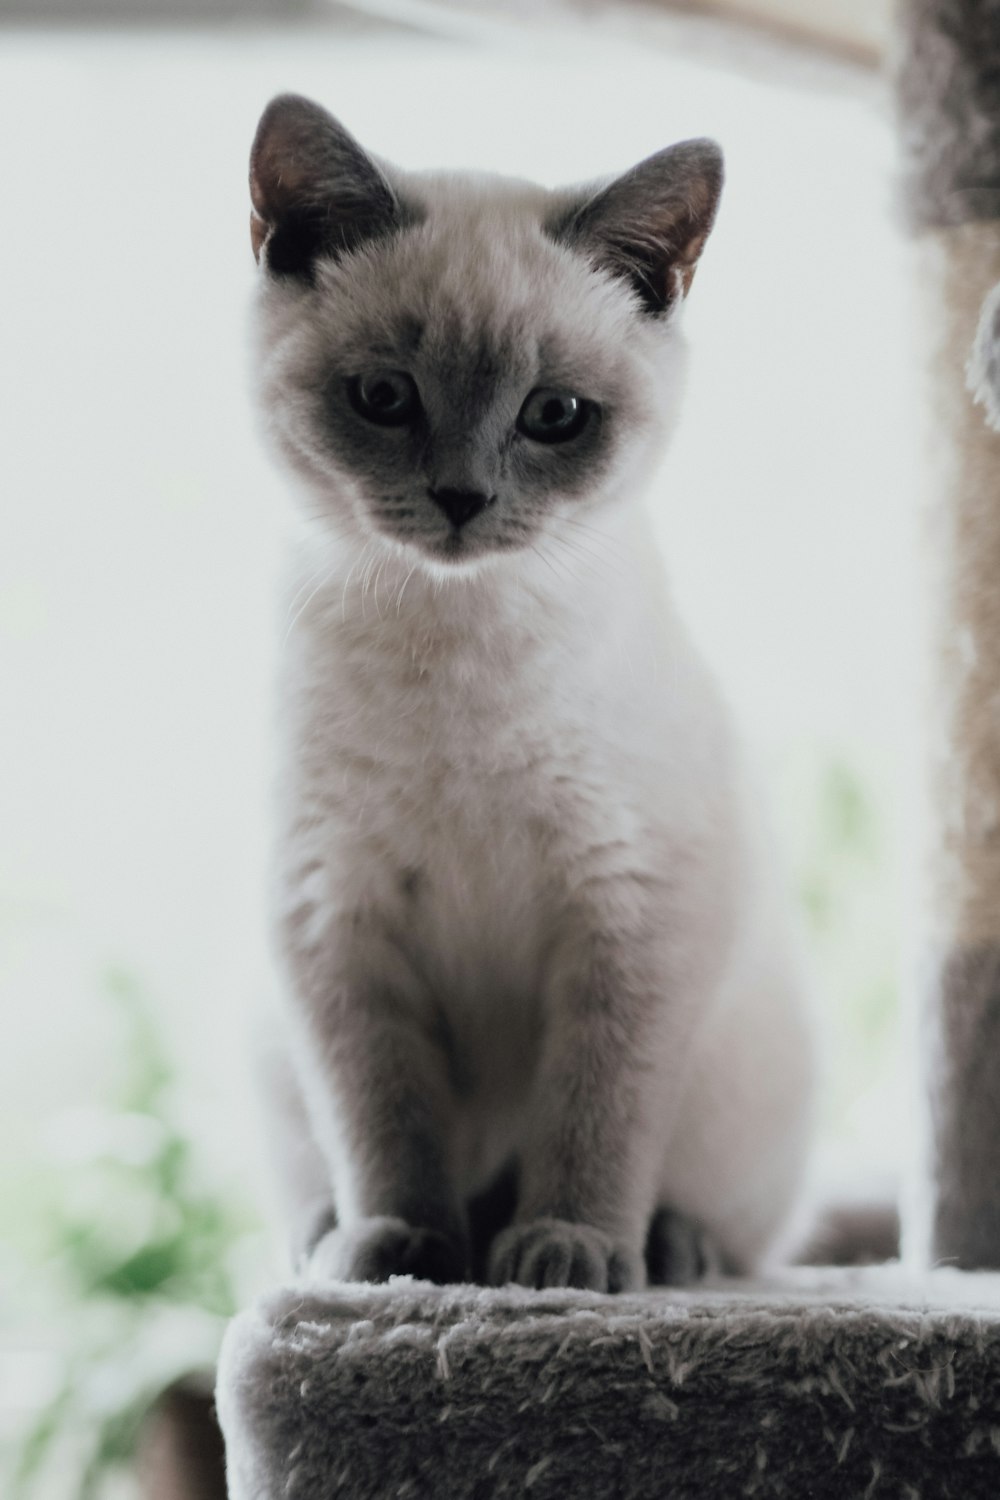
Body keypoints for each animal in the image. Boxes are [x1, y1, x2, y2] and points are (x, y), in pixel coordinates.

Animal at [248, 90, 815, 1290]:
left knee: (731, 1225)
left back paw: (663, 1252)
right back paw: (334, 1242)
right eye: (383, 398)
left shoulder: (632, 913)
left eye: (555, 416)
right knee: (347, 1171)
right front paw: (403, 1258)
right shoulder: (334, 915)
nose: (461, 499)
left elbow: (595, 1111)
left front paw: (566, 1253)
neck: (455, 646)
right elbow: (384, 1121)